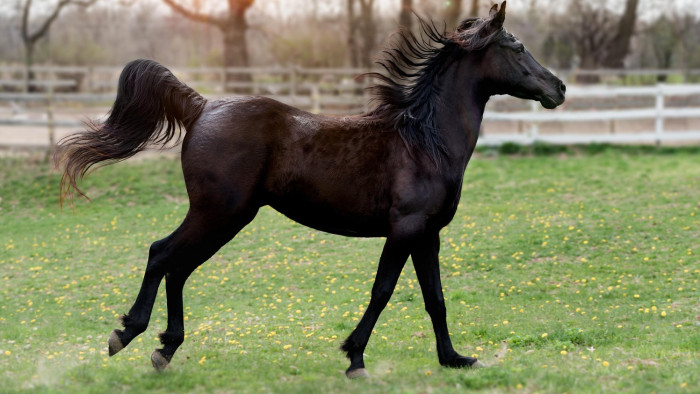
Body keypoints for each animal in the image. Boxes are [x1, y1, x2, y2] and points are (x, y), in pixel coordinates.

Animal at [57, 3, 568, 378]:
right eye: (516, 46)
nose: (559, 88)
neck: (425, 141)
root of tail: (202, 107)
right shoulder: (404, 230)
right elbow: (383, 290)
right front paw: (355, 358)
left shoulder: (429, 234)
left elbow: (434, 298)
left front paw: (454, 359)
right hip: (219, 213)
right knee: (162, 255)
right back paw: (127, 335)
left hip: (221, 217)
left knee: (178, 267)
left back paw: (164, 349)